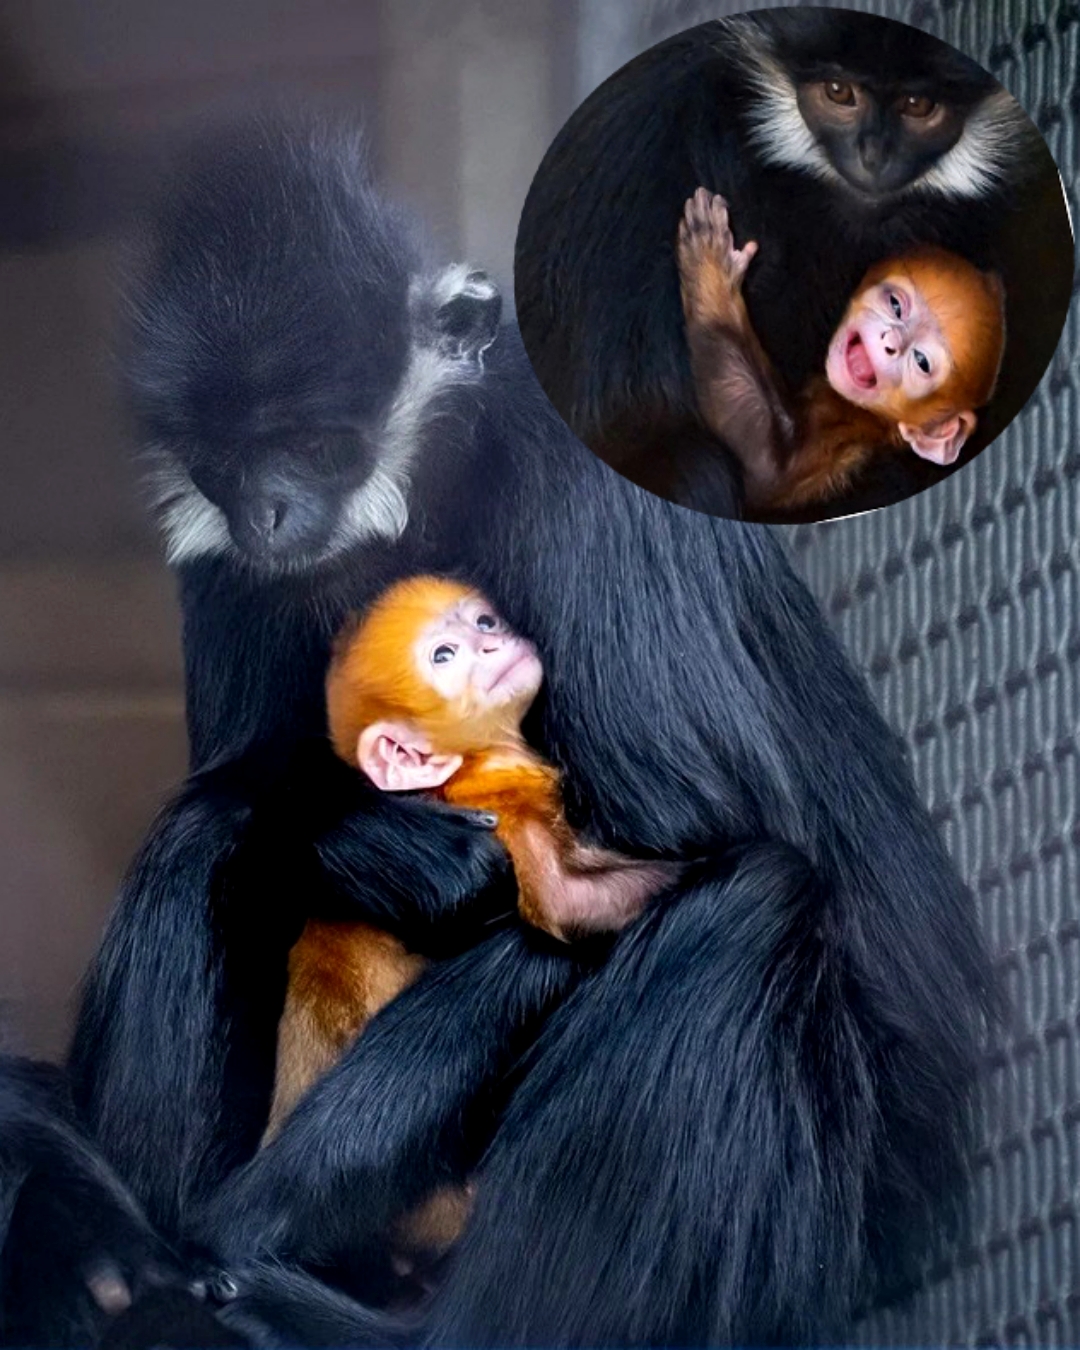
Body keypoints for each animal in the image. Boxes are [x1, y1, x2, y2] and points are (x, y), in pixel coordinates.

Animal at [674, 187, 1006, 516]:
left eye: (921, 361)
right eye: (896, 305)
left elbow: (766, 464)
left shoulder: (842, 430)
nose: (891, 341)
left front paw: (712, 267)